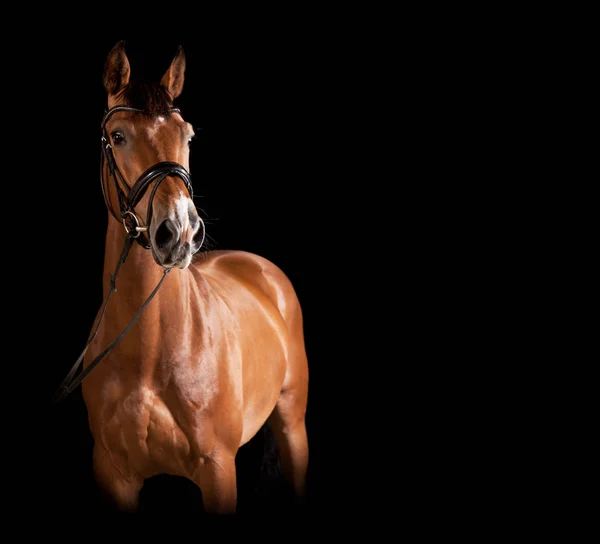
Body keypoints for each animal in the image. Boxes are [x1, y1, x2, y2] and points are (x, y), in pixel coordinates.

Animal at [54, 42, 310, 516]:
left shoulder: (217, 470)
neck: (152, 351)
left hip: (293, 426)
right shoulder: (114, 475)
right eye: (118, 136)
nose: (181, 231)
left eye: (187, 135)